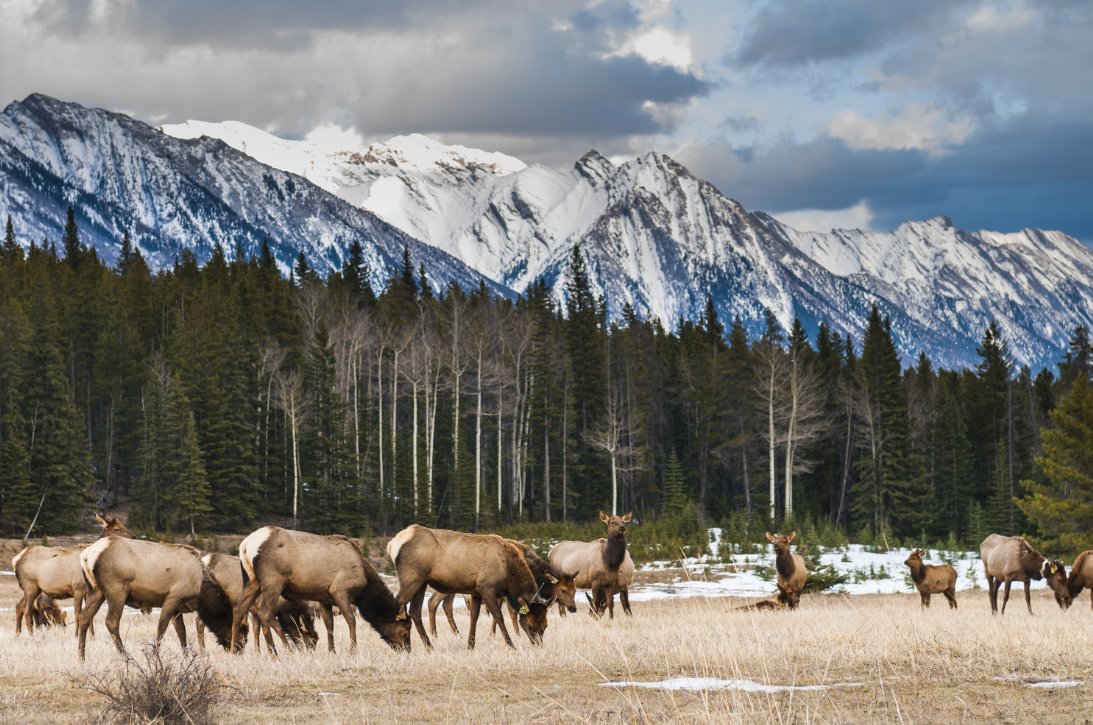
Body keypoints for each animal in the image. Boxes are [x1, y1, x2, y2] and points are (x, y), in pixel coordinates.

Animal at [77, 536, 236, 660]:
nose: (238, 648)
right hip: (116, 590)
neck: (200, 591)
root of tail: (86, 556)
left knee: (84, 618)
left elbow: (182, 632)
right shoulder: (173, 598)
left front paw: (186, 657)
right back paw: (126, 656)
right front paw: (156, 655)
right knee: (111, 622)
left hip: (96, 590)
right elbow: (162, 628)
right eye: (235, 626)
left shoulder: (177, 608)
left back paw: (81, 658)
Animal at [231, 526, 411, 655]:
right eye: (405, 633)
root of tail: (246, 546)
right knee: (263, 613)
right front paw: (352, 651)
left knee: (239, 610)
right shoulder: (340, 590)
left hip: (251, 580)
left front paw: (332, 651)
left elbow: (329, 625)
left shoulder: (324, 599)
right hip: (273, 581)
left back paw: (234, 651)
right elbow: (351, 620)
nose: (407, 651)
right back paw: (277, 652)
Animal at [387, 524, 551, 649]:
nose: (539, 645)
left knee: (415, 611)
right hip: (411, 579)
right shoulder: (487, 588)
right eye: (530, 625)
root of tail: (392, 544)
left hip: (421, 582)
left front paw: (470, 645)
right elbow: (498, 616)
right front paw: (511, 645)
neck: (509, 573)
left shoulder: (476, 592)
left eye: (545, 625)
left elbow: (474, 617)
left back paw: (429, 646)